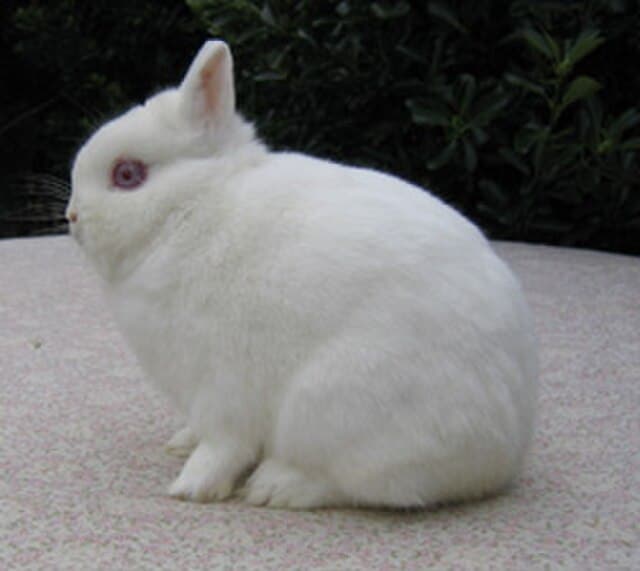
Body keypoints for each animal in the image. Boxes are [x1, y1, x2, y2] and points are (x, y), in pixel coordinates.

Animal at [66, 40, 538, 509]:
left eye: (128, 174)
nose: (72, 217)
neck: (187, 210)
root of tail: (503, 452)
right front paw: (180, 443)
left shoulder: (221, 384)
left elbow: (223, 444)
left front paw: (190, 487)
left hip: (330, 406)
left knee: (355, 484)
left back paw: (273, 487)